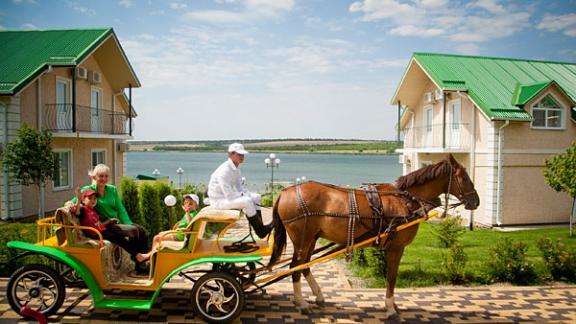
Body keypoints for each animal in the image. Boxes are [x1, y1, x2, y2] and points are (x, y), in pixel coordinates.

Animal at [268, 154, 480, 316]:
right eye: (465, 178)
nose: (476, 201)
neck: (405, 200)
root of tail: (284, 192)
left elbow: (390, 276)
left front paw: (393, 305)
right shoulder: (396, 248)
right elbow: (392, 277)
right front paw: (390, 307)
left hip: (312, 238)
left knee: (304, 266)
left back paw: (318, 296)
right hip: (302, 239)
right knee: (295, 267)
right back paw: (301, 303)